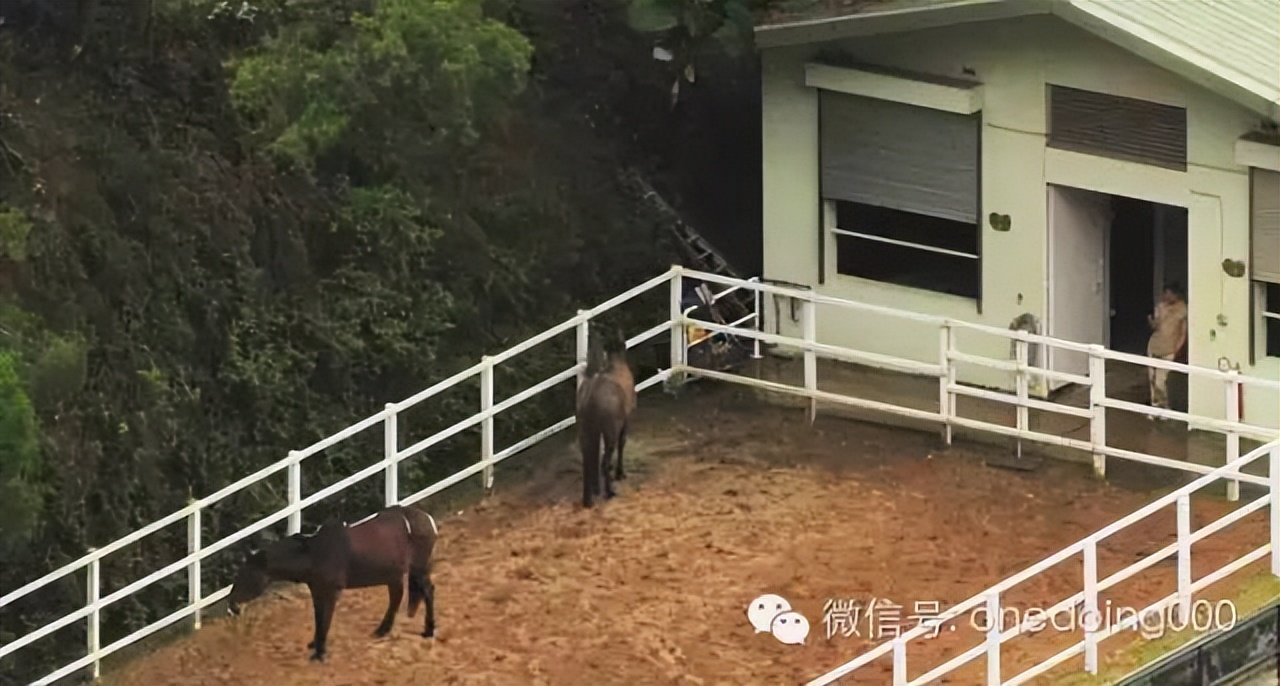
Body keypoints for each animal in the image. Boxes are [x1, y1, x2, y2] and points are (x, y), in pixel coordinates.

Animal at [222, 504, 437, 660]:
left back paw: (428, 630)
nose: (232, 605)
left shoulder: (332, 591)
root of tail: (427, 519)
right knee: (397, 596)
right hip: (394, 574)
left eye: (247, 576)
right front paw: (315, 645)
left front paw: (320, 653)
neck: (314, 553)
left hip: (417, 569)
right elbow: (319, 618)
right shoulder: (317, 590)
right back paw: (382, 630)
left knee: (428, 591)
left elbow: (325, 619)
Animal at [578, 340, 637, 506]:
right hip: (609, 432)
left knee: (587, 463)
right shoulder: (626, 420)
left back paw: (588, 499)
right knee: (604, 461)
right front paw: (619, 473)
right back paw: (609, 492)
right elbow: (622, 443)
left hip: (586, 432)